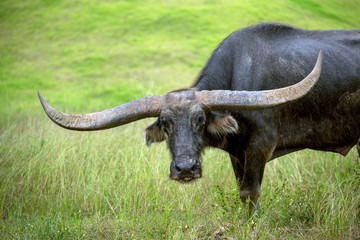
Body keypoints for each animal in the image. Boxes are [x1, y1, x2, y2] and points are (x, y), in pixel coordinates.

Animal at [39, 23, 360, 213]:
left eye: (200, 120)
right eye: (166, 123)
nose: (185, 169)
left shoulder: (261, 146)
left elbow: (250, 192)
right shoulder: (237, 154)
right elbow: (241, 191)